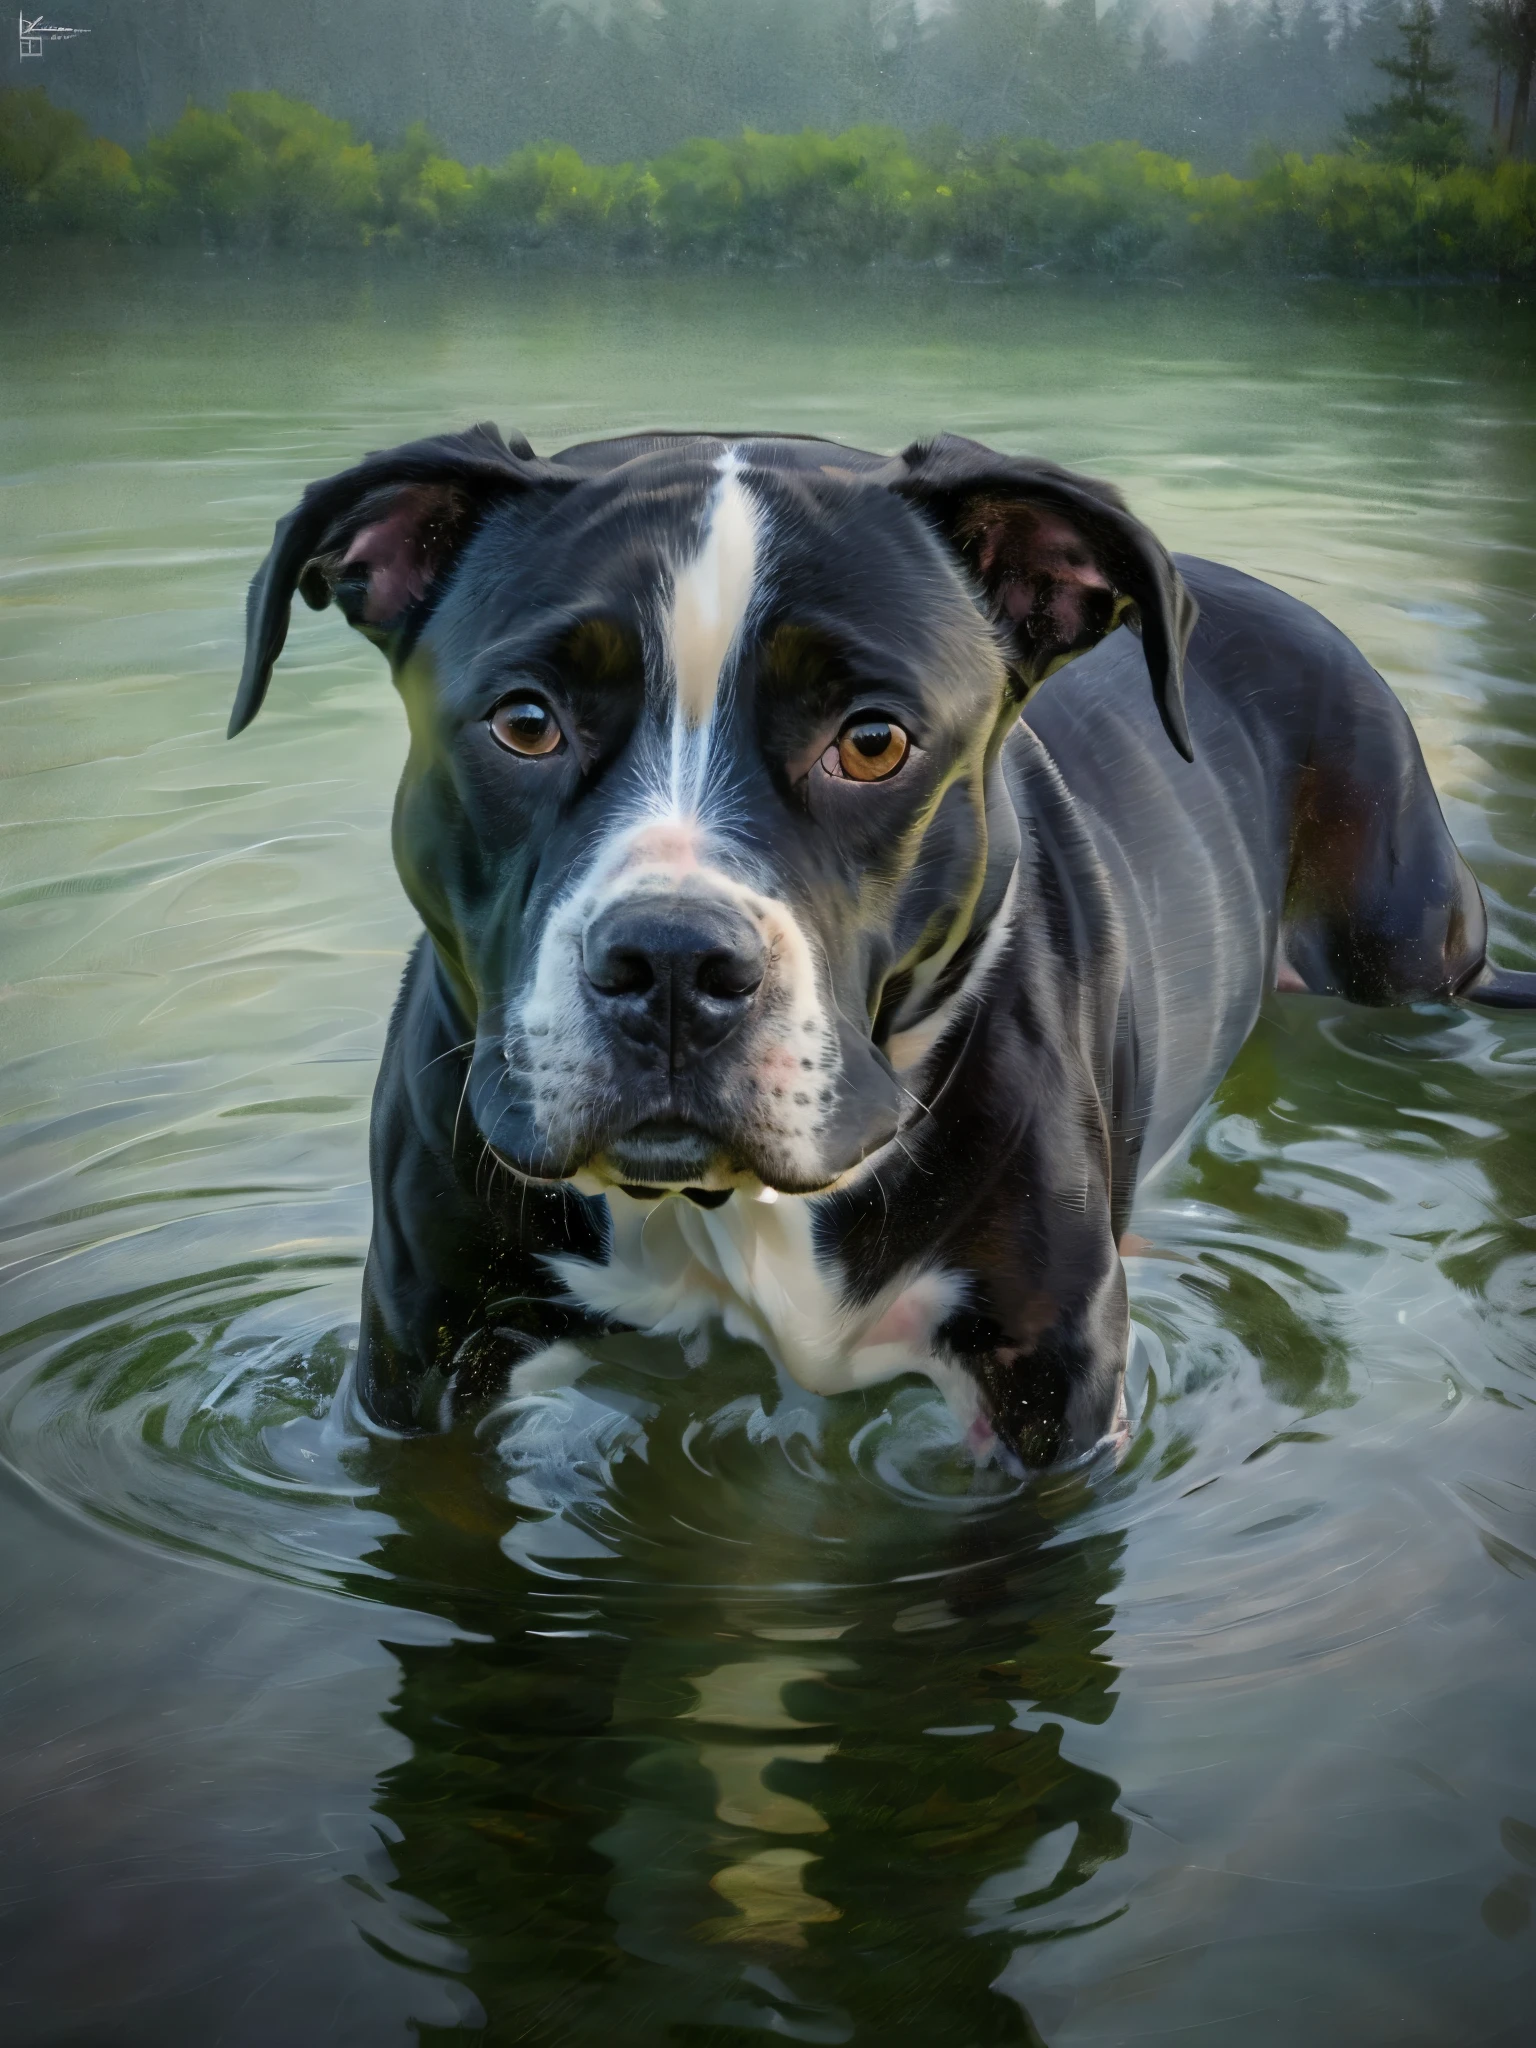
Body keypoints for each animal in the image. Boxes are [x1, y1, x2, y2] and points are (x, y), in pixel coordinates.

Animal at [228, 423, 1536, 1466]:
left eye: (871, 741)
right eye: (525, 723)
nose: (672, 966)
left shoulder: (1050, 1396)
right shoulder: (424, 1361)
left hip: (1407, 945)